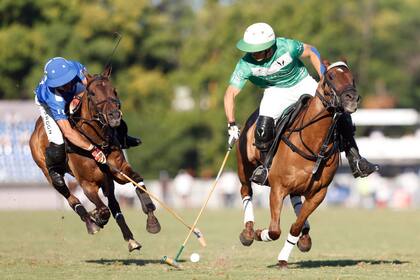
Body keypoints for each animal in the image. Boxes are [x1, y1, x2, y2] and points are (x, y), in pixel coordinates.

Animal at [29, 65, 161, 252]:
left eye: (114, 90)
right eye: (92, 93)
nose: (114, 116)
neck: (97, 140)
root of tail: (36, 129)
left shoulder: (118, 171)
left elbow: (137, 180)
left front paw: (152, 221)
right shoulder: (88, 184)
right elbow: (102, 210)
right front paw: (97, 218)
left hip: (107, 181)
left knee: (114, 205)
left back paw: (130, 238)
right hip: (48, 170)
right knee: (70, 197)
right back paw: (91, 222)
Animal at [236, 60, 358, 266]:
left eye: (352, 78)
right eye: (331, 76)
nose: (352, 98)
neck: (313, 142)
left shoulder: (319, 193)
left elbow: (295, 226)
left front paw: (285, 256)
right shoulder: (278, 188)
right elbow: (275, 230)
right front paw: (260, 234)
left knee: (296, 202)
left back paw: (304, 236)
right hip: (244, 167)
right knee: (246, 191)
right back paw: (248, 232)